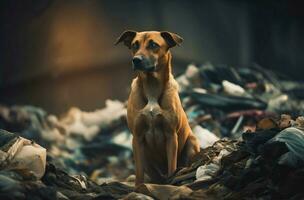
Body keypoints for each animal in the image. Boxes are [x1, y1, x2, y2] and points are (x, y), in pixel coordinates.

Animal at [116, 30, 200, 185]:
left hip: (191, 142)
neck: (151, 86)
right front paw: (139, 187)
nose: (136, 60)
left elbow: (172, 166)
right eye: (134, 45)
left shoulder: (171, 135)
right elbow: (139, 172)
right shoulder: (137, 137)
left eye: (153, 45)